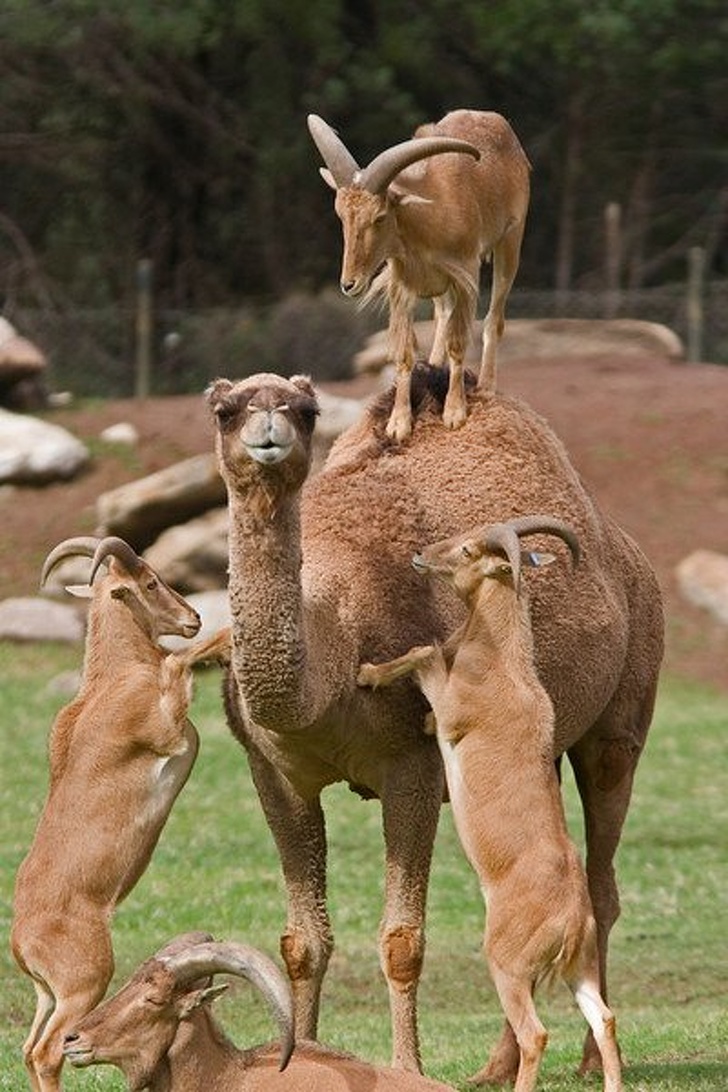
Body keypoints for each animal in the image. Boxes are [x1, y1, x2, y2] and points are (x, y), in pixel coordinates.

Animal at [10, 536, 230, 1092]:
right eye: (150, 581)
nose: (193, 616)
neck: (111, 681)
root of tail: (23, 944)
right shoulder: (166, 727)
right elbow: (179, 664)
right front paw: (226, 637)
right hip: (84, 985)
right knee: (48, 1051)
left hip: (48, 995)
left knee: (28, 1050)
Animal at [308, 110, 530, 440]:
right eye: (341, 215)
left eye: (380, 216)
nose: (350, 284)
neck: (425, 219)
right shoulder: (403, 285)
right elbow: (404, 352)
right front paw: (398, 423)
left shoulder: (465, 275)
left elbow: (458, 342)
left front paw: (454, 412)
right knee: (442, 313)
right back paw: (434, 364)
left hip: (510, 241)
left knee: (494, 319)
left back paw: (487, 386)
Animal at [358, 516, 623, 1092]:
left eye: (466, 550)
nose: (420, 555)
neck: (504, 667)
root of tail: (572, 921)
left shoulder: (454, 708)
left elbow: (426, 652)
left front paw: (367, 672)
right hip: (582, 970)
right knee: (605, 1018)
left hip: (508, 965)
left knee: (535, 1033)